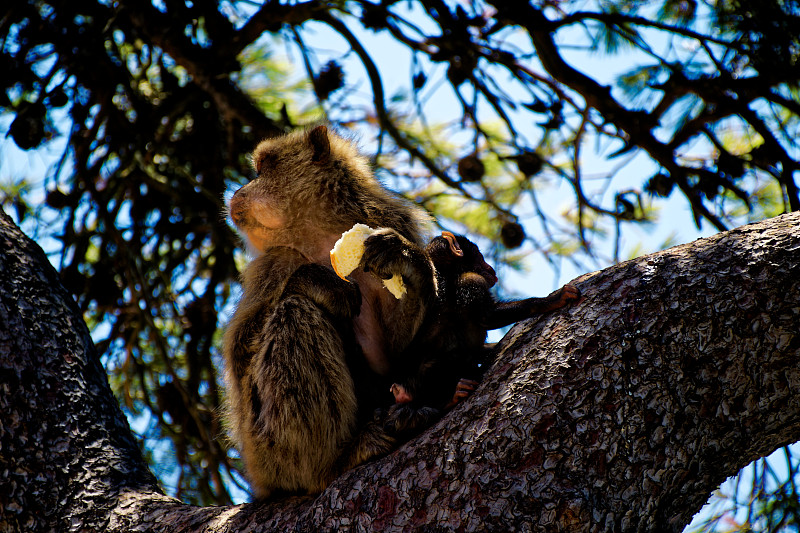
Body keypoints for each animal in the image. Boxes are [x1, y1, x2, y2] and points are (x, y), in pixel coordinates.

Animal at [223, 125, 438, 498]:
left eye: (262, 168)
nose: (238, 190)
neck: (320, 235)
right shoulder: (273, 264)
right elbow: (240, 352)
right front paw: (319, 282)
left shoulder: (388, 225)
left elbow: (394, 360)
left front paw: (408, 261)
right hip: (267, 450)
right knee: (294, 312)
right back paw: (331, 463)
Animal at [384, 230, 580, 436]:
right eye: (479, 255)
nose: (490, 268)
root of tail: (399, 388)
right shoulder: (472, 280)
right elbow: (489, 316)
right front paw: (553, 299)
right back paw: (451, 397)